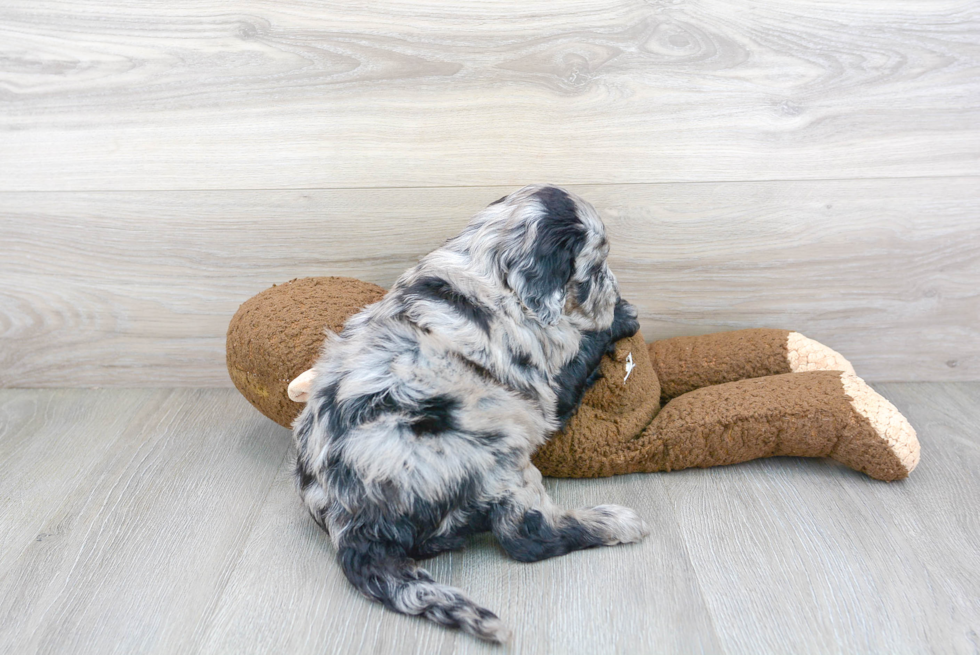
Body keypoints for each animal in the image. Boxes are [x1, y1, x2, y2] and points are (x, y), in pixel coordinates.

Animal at [290, 183, 652, 640]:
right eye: (598, 265)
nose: (616, 292)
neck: (489, 260)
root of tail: (351, 524)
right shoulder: (548, 381)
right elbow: (582, 349)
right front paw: (622, 316)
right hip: (495, 454)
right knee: (526, 535)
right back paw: (615, 521)